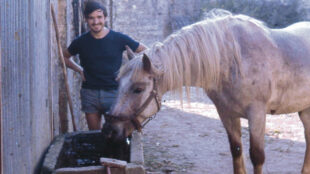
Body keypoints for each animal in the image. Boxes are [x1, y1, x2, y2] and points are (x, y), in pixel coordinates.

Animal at [102, 10, 310, 173]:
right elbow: (236, 150)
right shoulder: (226, 113)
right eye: (118, 83)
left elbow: (257, 156)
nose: (109, 130)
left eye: (138, 89)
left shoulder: (257, 114)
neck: (234, 58)